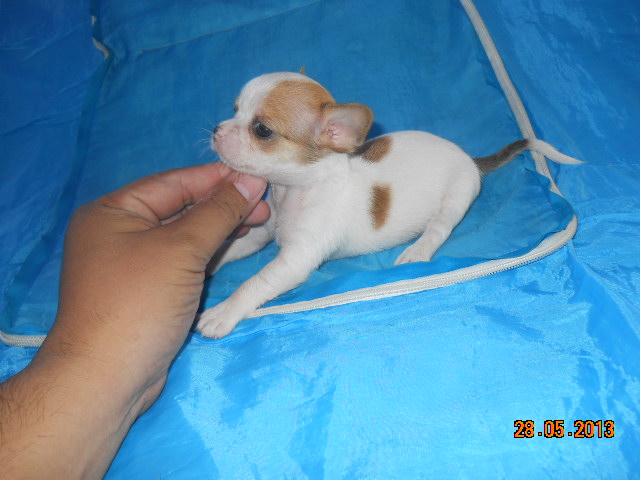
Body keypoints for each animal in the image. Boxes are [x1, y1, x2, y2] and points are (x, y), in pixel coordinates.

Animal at [196, 72, 581, 338]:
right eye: (234, 110)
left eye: (261, 130)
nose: (217, 130)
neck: (292, 192)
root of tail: (468, 158)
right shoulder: (260, 233)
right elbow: (230, 246)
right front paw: (206, 267)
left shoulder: (295, 261)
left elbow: (254, 282)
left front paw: (223, 311)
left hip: (457, 198)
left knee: (439, 228)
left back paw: (417, 252)